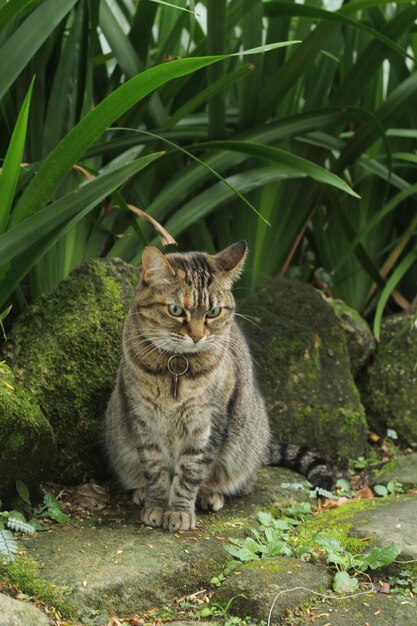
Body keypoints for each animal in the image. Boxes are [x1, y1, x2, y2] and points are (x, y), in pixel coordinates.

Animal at [105, 241, 334, 528]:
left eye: (213, 312)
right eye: (176, 310)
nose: (197, 336)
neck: (177, 367)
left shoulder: (208, 423)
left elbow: (190, 472)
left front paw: (179, 511)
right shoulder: (143, 421)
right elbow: (155, 470)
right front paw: (156, 505)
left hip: (243, 446)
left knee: (239, 481)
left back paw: (210, 494)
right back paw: (142, 492)